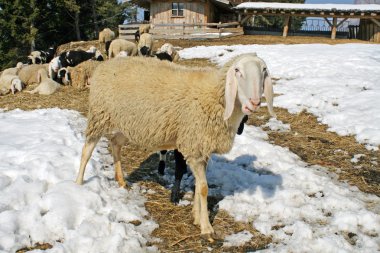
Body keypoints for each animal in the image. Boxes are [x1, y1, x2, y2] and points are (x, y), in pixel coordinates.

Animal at [75, 52, 276, 237]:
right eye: (237, 71)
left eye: (264, 70)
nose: (254, 102)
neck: (216, 98)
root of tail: (105, 65)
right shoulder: (194, 146)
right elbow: (204, 188)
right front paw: (206, 227)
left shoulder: (201, 148)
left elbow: (198, 186)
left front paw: (196, 217)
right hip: (99, 116)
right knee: (86, 151)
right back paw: (78, 184)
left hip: (125, 124)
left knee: (116, 145)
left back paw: (121, 181)